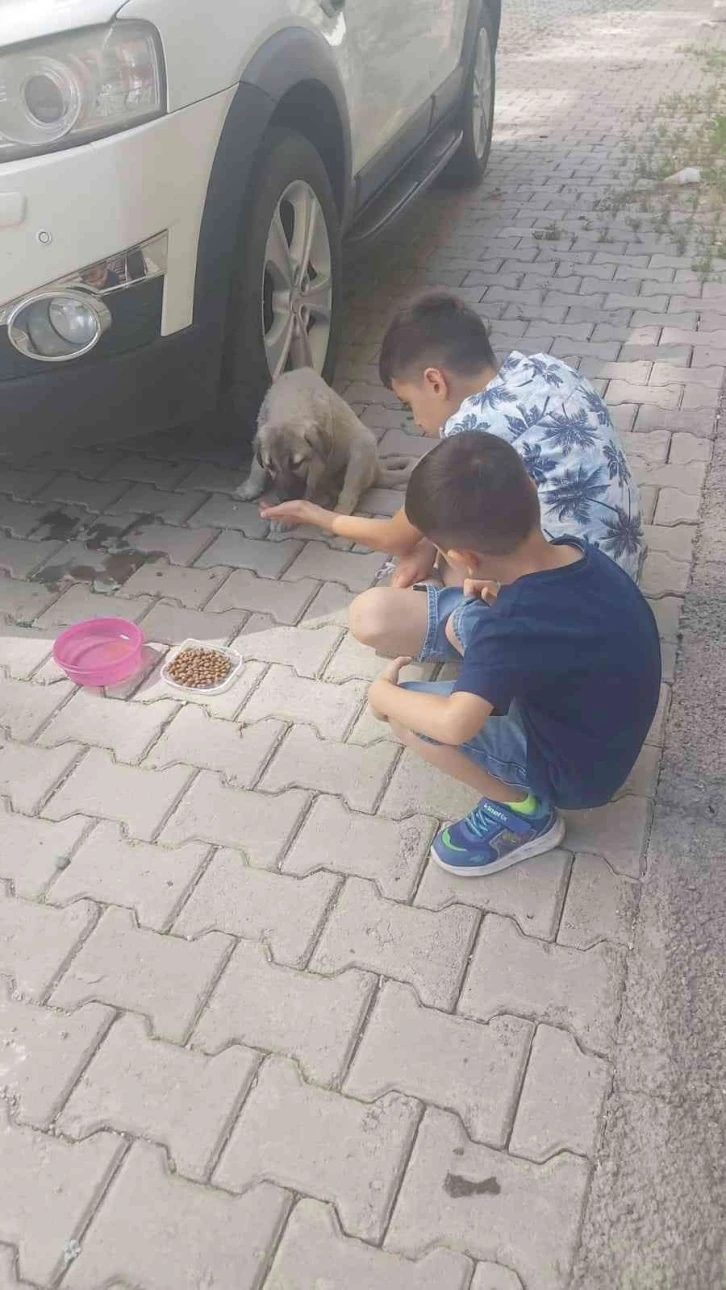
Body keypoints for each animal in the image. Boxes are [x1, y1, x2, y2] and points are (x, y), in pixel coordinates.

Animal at [235, 366, 412, 516]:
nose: (285, 499)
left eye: (296, 464)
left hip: (362, 448)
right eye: (270, 466)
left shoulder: (318, 460)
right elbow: (256, 467)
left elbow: (309, 485)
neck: (290, 403)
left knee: (349, 495)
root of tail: (377, 470)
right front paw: (250, 489)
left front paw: (290, 516)